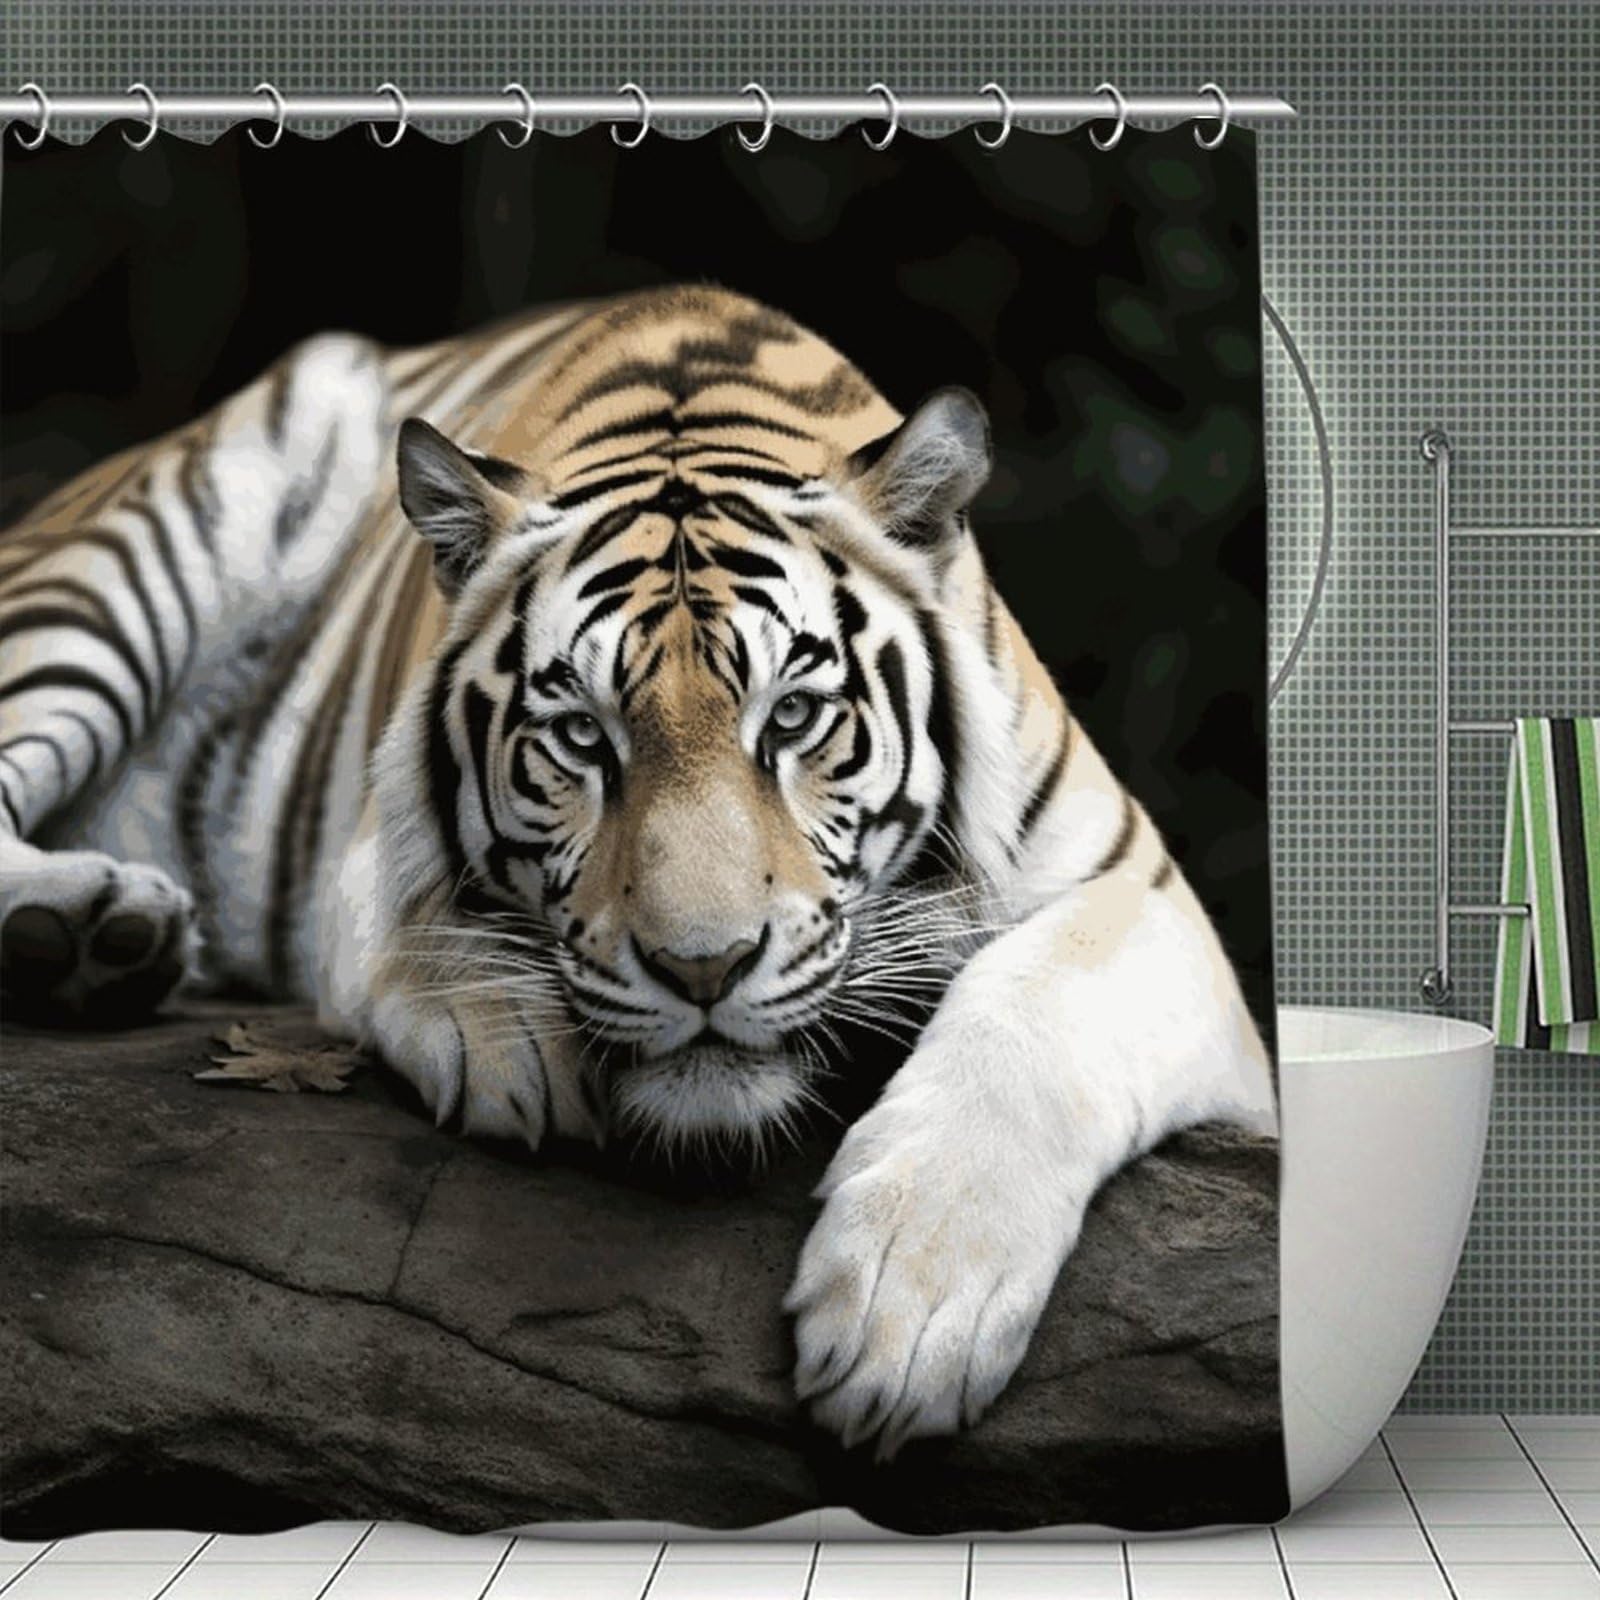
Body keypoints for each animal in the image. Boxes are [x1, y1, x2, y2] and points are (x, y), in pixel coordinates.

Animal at [0, 285, 1276, 1458]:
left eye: (793, 716)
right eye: (580, 737)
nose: (701, 970)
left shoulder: (1142, 892)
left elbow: (1037, 1008)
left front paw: (907, 1312)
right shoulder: (369, 837)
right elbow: (414, 916)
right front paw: (509, 1033)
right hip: (126, 555)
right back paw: (89, 927)